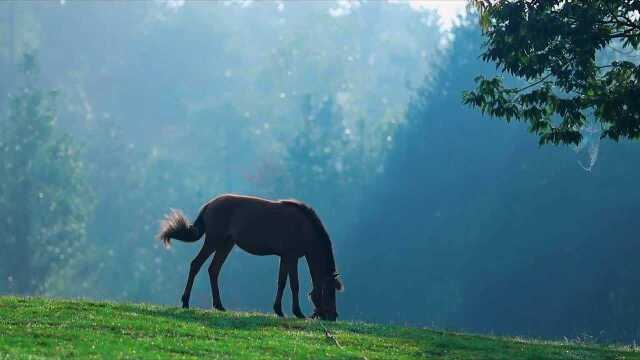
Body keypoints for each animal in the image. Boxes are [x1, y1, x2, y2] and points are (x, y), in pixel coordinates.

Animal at [157, 194, 342, 320]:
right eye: (329, 292)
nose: (333, 316)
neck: (305, 228)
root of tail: (208, 205)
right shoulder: (292, 257)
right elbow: (294, 285)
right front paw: (298, 312)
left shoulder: (284, 257)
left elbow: (281, 283)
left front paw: (278, 310)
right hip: (214, 240)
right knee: (196, 265)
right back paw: (185, 301)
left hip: (226, 244)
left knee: (213, 270)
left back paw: (219, 305)